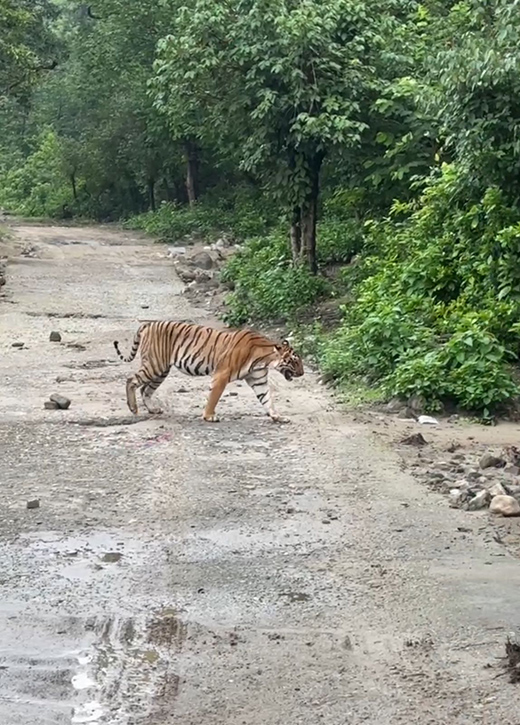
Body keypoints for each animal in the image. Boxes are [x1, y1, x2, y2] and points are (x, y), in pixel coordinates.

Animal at [113, 320, 304, 422]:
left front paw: (278, 416)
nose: (302, 373)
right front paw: (209, 416)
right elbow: (214, 397)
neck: (264, 360)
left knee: (146, 390)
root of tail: (148, 324)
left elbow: (267, 399)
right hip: (155, 365)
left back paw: (152, 409)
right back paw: (133, 408)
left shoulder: (259, 380)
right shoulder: (221, 374)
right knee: (131, 380)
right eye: (295, 361)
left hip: (161, 371)